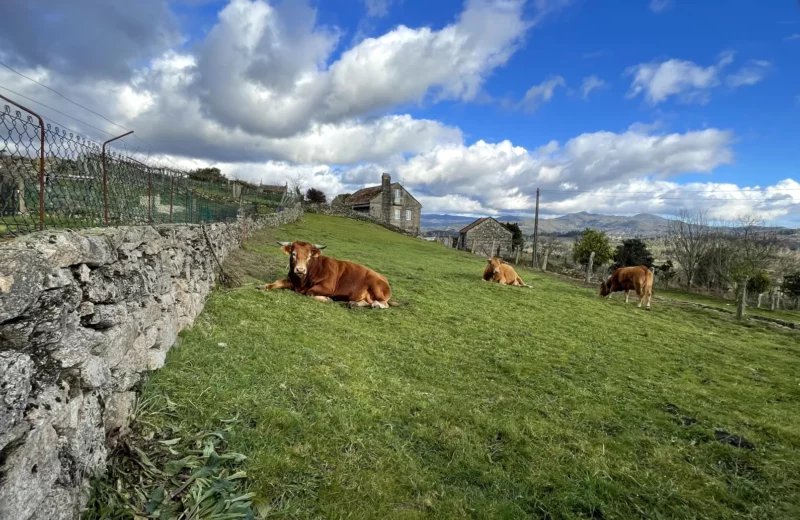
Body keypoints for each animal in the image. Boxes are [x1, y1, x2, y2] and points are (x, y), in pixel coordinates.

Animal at [262, 241, 396, 308]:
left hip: (376, 287)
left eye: (309, 256)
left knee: (383, 303)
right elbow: (278, 282)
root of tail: (384, 278)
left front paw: (326, 299)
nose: (300, 269)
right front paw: (264, 286)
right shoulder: (291, 280)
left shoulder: (327, 287)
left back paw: (376, 305)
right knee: (367, 301)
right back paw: (353, 303)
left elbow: (309, 292)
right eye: (293, 254)